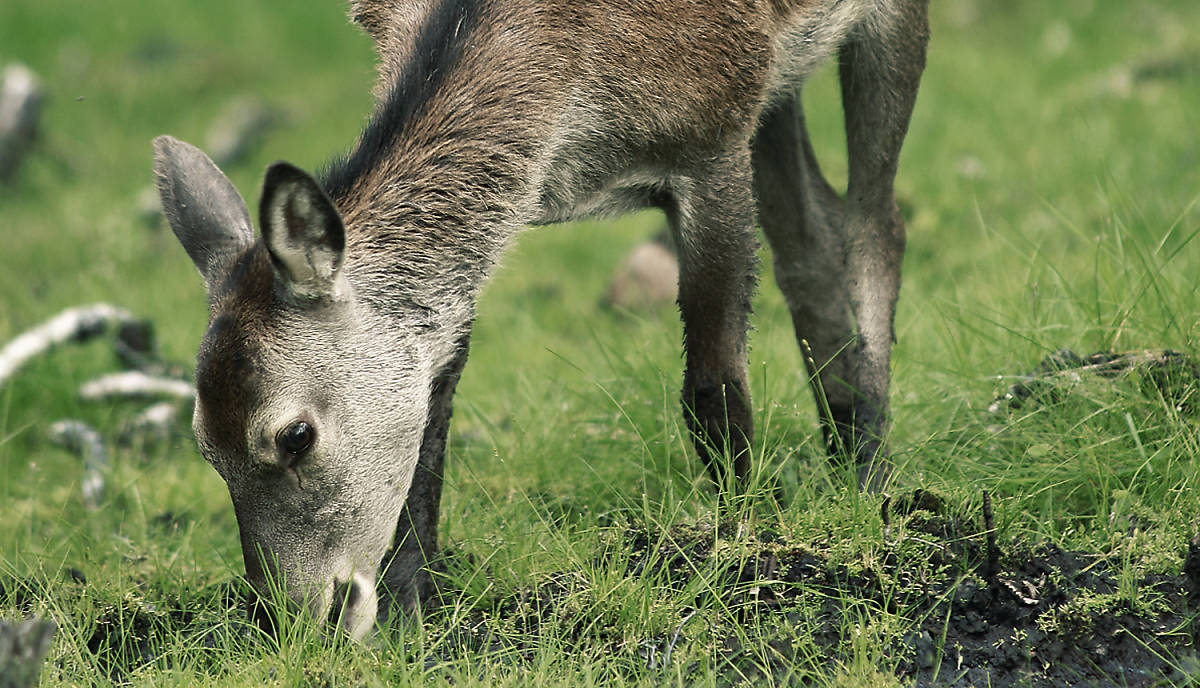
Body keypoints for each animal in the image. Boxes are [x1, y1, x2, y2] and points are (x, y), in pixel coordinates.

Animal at [154, 0, 931, 638]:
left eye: (293, 436)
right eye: (203, 445)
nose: (287, 620)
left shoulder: (715, 129)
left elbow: (713, 390)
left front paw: (746, 540)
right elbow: (435, 404)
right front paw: (411, 617)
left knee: (874, 227)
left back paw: (872, 477)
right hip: (784, 85)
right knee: (812, 236)